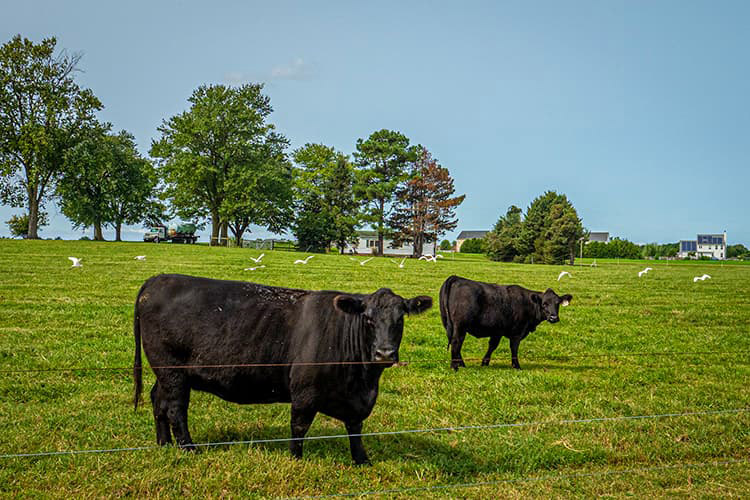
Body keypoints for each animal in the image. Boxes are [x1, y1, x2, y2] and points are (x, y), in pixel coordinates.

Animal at [132, 274, 432, 464]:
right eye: (368, 319)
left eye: (400, 319)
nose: (384, 353)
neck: (362, 379)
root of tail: (159, 279)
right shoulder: (304, 391)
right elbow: (299, 426)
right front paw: (296, 458)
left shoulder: (356, 400)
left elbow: (355, 427)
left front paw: (362, 460)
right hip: (173, 371)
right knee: (175, 409)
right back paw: (189, 449)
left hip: (166, 374)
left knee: (158, 400)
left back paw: (164, 443)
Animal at [438, 276, 572, 370]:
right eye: (544, 304)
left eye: (557, 303)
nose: (554, 318)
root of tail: (456, 278)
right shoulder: (517, 332)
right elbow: (514, 348)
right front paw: (516, 366)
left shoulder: (497, 331)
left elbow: (492, 346)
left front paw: (485, 362)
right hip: (460, 326)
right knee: (456, 342)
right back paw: (454, 366)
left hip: (449, 324)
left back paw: (461, 364)